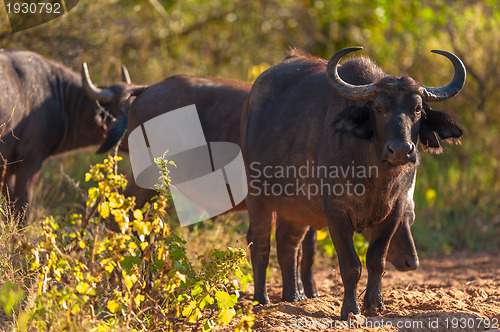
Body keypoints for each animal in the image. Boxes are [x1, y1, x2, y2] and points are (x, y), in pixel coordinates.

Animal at [242, 46, 464, 320]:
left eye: (417, 109)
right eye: (378, 108)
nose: (401, 150)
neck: (375, 177)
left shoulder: (394, 211)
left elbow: (376, 261)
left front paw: (375, 305)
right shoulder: (336, 213)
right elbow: (351, 266)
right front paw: (350, 308)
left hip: (296, 208)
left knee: (287, 244)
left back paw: (293, 297)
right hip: (258, 196)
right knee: (260, 243)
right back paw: (261, 300)